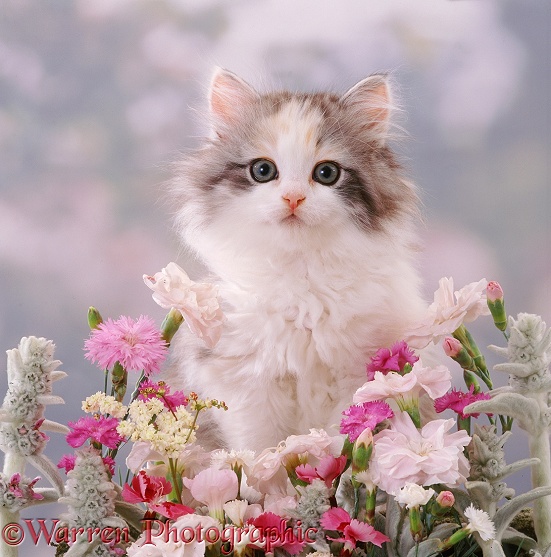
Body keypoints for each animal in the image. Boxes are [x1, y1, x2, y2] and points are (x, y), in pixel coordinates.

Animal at [166, 68, 424, 452]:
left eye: (326, 173)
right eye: (262, 170)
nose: (293, 198)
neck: (301, 274)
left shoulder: (360, 373)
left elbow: (340, 444)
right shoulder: (243, 379)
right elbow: (259, 450)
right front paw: (266, 468)